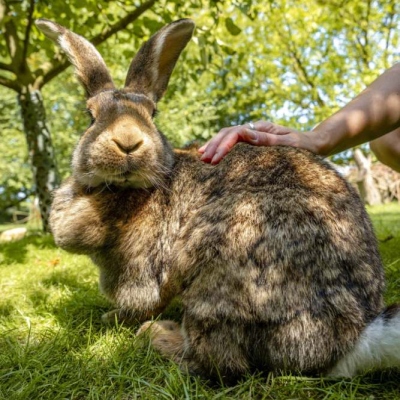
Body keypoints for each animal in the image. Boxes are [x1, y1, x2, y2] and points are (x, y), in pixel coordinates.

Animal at [36, 18, 400, 382]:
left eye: (152, 113)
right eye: (91, 116)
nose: (128, 142)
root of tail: (350, 339)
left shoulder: (141, 269)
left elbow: (142, 301)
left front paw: (114, 319)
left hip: (220, 258)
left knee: (221, 362)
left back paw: (157, 335)